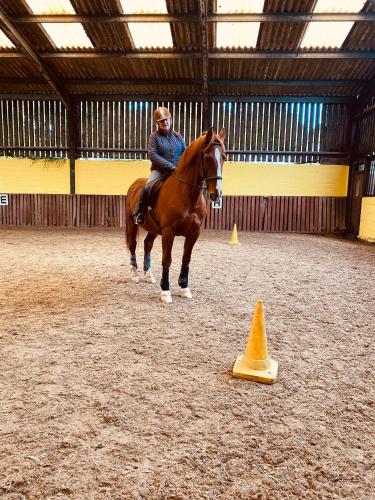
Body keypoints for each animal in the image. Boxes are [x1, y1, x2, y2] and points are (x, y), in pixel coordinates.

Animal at [125, 127, 226, 302]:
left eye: (224, 158)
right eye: (207, 157)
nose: (216, 194)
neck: (188, 196)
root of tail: (135, 184)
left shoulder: (194, 233)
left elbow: (186, 259)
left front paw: (184, 288)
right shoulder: (168, 232)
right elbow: (167, 259)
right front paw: (165, 291)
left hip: (153, 229)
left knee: (147, 244)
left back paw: (148, 275)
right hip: (132, 224)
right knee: (133, 245)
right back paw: (135, 274)